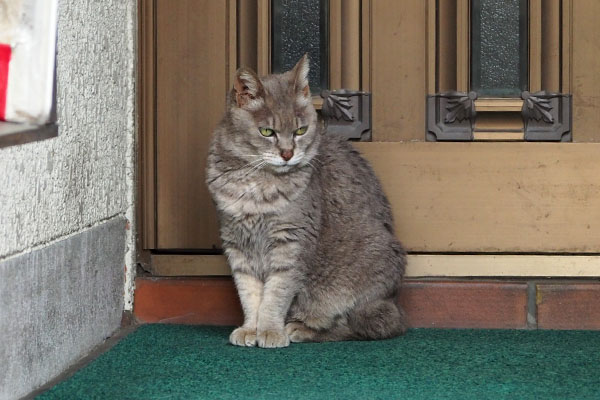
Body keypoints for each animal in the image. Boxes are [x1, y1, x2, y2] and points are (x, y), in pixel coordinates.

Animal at [206, 55, 408, 346]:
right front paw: (250, 328)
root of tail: (393, 301)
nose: (288, 153)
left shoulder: (291, 242)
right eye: (267, 131)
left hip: (358, 287)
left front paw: (269, 330)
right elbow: (249, 292)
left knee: (363, 324)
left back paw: (299, 328)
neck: (256, 183)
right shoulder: (236, 241)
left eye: (301, 130)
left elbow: (276, 294)